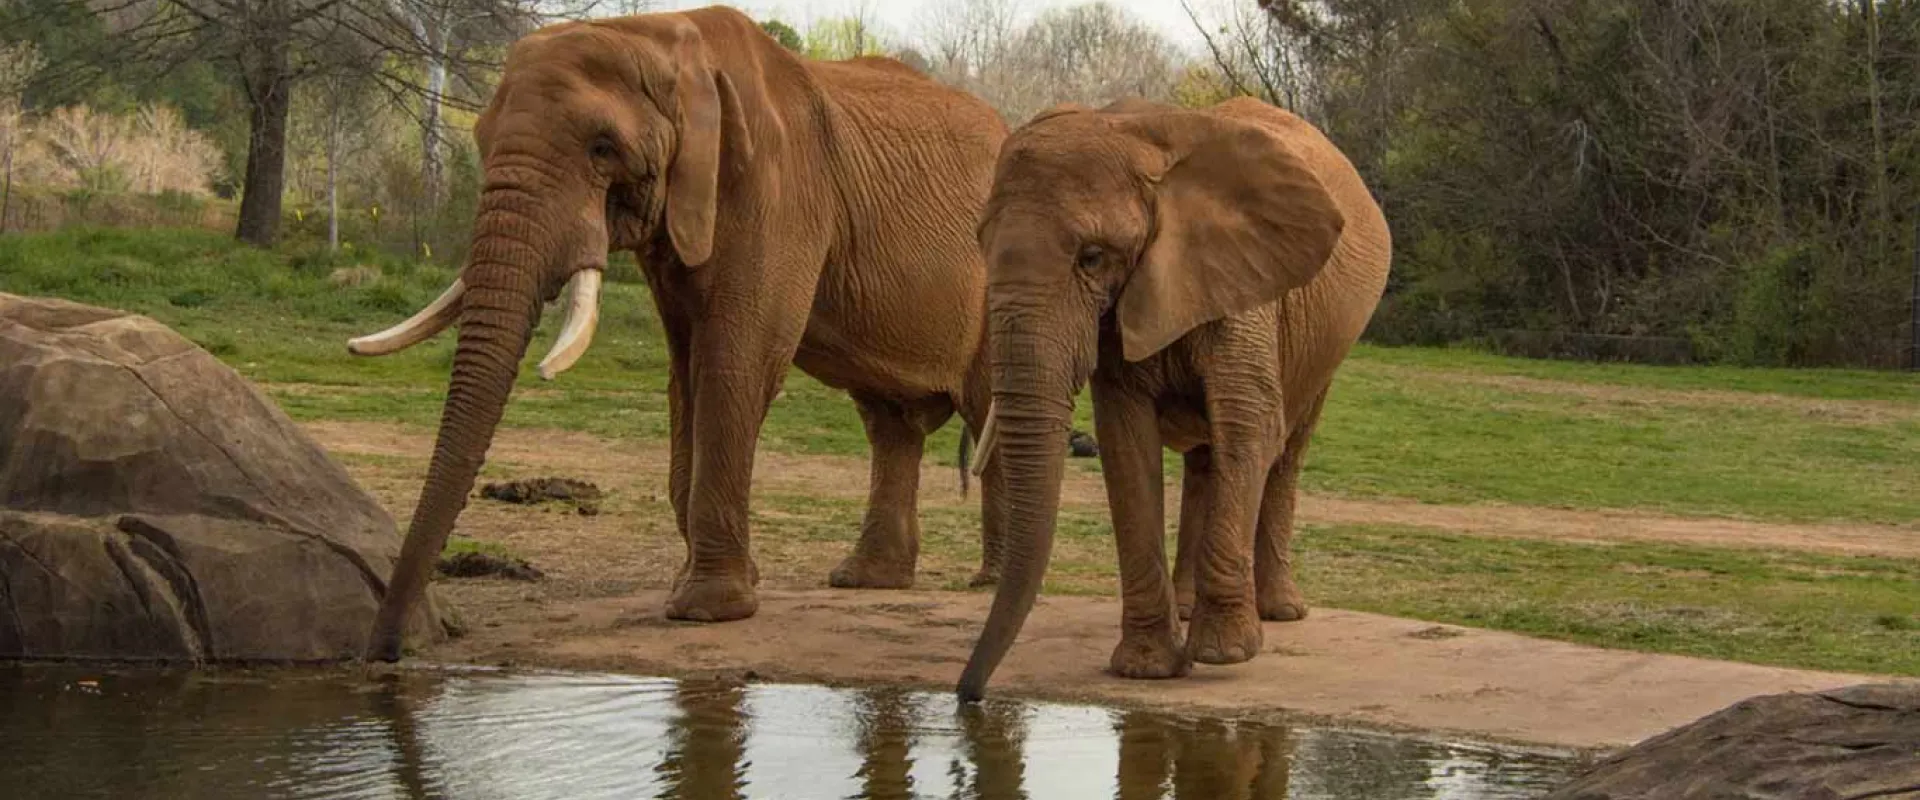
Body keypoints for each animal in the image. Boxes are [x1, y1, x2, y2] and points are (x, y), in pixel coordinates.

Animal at [347, 6, 1010, 659]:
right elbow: (683, 368)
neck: (658, 37)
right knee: (888, 423)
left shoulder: (777, 191)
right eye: (482, 140)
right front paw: (699, 590)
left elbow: (735, 359)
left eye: (603, 147)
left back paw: (988, 582)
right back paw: (865, 579)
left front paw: (707, 610)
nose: (386, 652)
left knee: (983, 411)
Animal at [956, 97, 1390, 700]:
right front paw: (1147, 667)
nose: (968, 695)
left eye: (1092, 257)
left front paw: (1224, 655)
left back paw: (1279, 613)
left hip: (1330, 343)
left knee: (1285, 448)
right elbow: (1126, 442)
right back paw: (1188, 609)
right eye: (981, 246)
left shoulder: (1243, 279)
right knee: (1207, 456)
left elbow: (1250, 424)